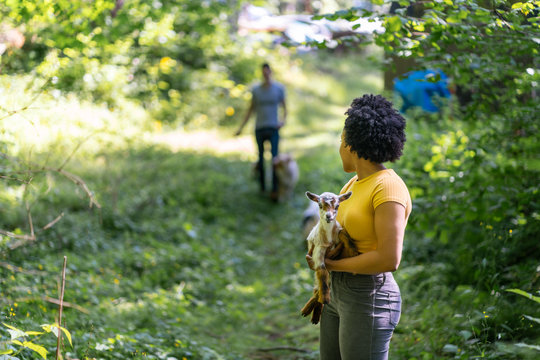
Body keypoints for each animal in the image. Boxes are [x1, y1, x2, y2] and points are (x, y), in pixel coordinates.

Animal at [302, 190, 352, 322]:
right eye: (319, 205)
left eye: (337, 206)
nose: (328, 216)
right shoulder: (319, 250)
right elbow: (322, 272)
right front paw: (325, 299)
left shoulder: (339, 237)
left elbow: (344, 239)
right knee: (319, 284)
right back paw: (309, 311)